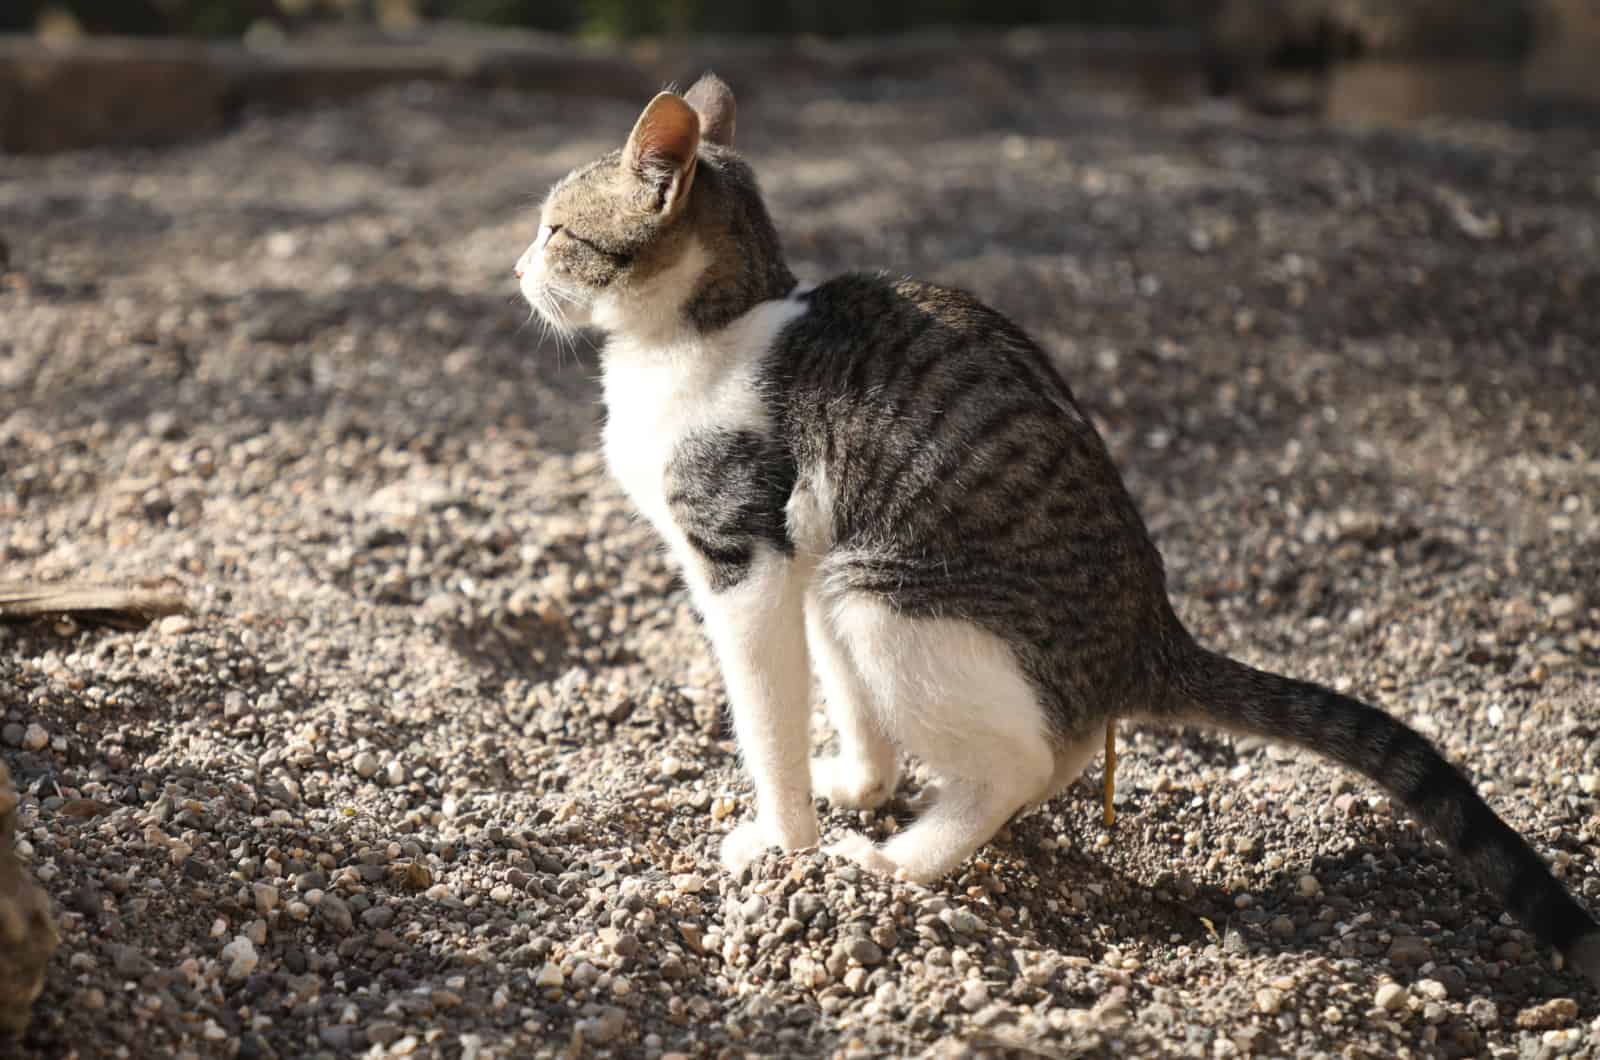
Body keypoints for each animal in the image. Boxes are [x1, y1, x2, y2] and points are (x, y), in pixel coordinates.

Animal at [515, 76, 1600, 986]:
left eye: (557, 228)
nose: (517, 264)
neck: (704, 338)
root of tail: (1149, 632)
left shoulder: (742, 561)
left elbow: (764, 721)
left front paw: (783, 847)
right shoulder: (792, 563)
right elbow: (838, 718)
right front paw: (843, 790)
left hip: (881, 594)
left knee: (1026, 764)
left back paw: (898, 865)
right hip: (842, 575)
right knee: (1048, 748)